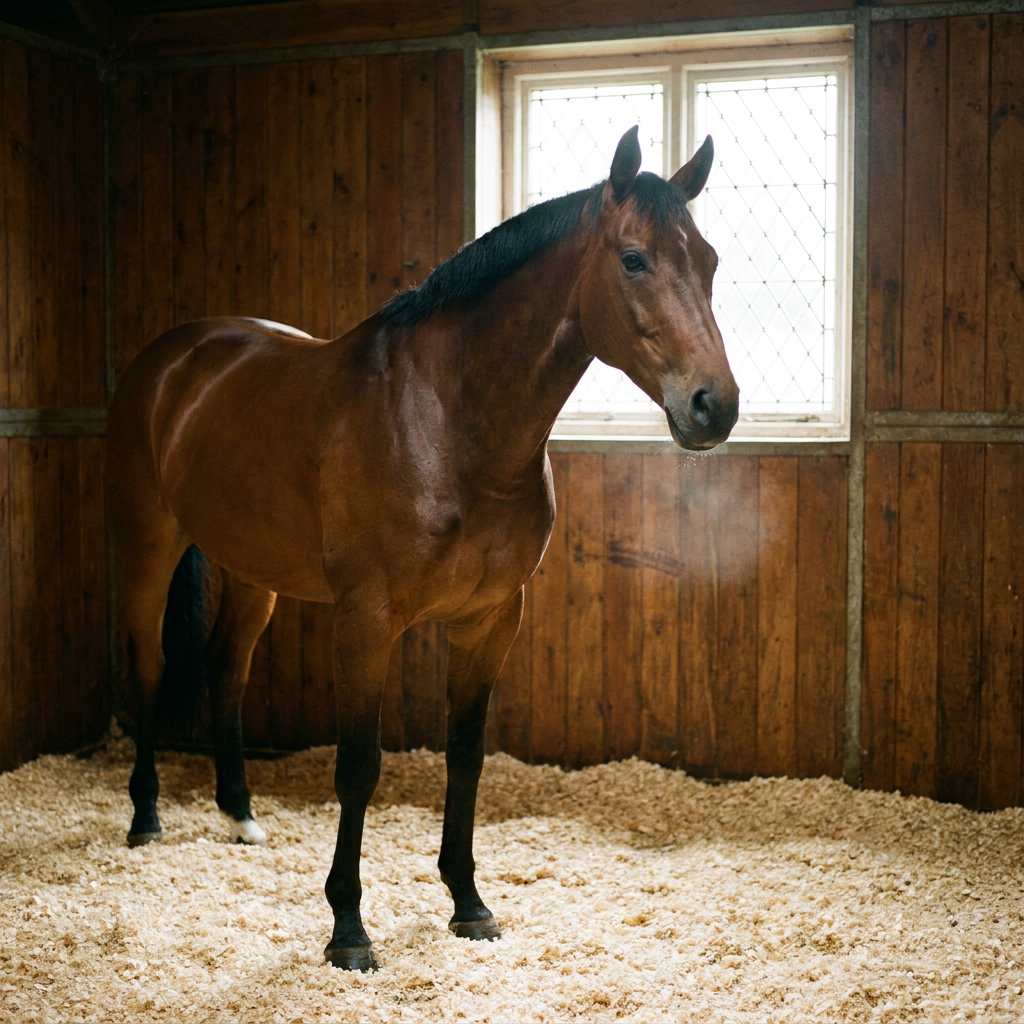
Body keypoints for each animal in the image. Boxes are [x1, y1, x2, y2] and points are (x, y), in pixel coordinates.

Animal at [104, 126, 739, 972]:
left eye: (708, 260)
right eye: (633, 259)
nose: (714, 406)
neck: (446, 422)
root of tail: (171, 358)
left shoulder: (491, 620)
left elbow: (465, 754)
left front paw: (469, 902)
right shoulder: (367, 620)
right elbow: (360, 765)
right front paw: (348, 929)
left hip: (252, 569)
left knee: (224, 668)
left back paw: (239, 814)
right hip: (149, 542)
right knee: (149, 663)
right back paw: (144, 816)